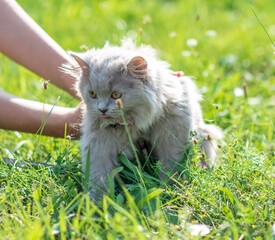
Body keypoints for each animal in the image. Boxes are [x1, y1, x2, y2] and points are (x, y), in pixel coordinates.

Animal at [64, 39, 222, 201]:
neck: (136, 122)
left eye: (116, 95)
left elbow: (169, 167)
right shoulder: (99, 145)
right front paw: (98, 203)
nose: (102, 109)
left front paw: (168, 190)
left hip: (205, 135)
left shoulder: (172, 139)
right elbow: (98, 176)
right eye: (92, 94)